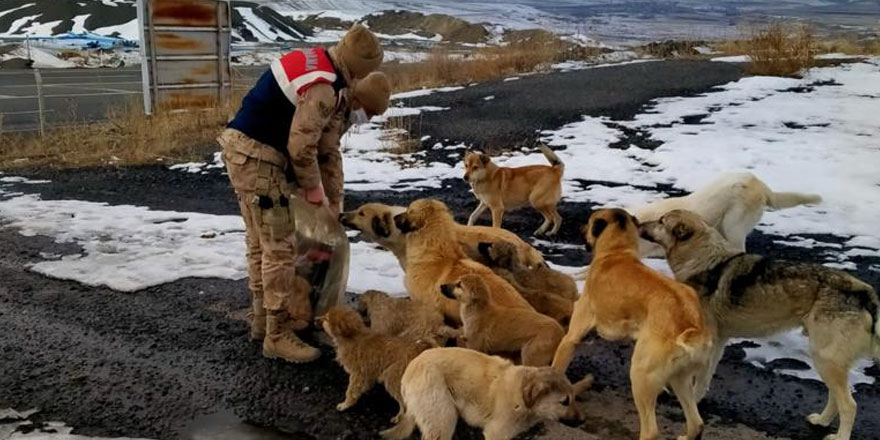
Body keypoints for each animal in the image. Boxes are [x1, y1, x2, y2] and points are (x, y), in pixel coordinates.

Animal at [380, 348, 576, 440]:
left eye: (572, 398)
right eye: (564, 401)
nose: (580, 420)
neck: (522, 396)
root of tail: (410, 369)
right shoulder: (496, 433)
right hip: (442, 416)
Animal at [552, 209, 712, 440]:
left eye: (589, 222)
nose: (579, 227)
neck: (617, 252)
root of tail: (690, 325)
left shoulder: (571, 337)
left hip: (640, 376)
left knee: (651, 431)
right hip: (680, 378)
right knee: (696, 423)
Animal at [640, 209, 880, 440]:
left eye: (661, 221)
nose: (637, 222)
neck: (701, 260)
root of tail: (865, 292)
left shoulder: (707, 342)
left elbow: (697, 380)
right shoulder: (718, 343)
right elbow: (705, 378)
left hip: (825, 359)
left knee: (849, 405)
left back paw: (839, 436)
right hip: (827, 361)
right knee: (835, 397)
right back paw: (821, 421)